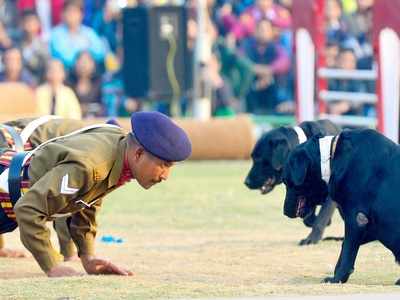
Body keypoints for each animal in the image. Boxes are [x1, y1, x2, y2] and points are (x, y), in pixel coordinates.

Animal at [282, 128, 400, 284]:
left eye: (285, 181)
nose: (284, 211)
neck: (330, 160)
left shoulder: (356, 218)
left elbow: (346, 251)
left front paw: (337, 278)